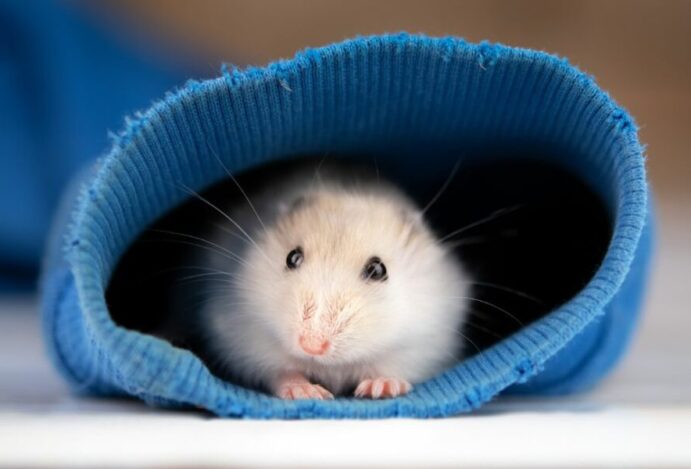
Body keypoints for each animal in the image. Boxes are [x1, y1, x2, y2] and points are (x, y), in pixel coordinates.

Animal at [169, 160, 470, 400]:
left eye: (378, 270)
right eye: (292, 258)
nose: (312, 345)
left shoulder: (427, 341)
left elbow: (391, 366)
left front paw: (380, 388)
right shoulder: (241, 335)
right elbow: (280, 370)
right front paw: (307, 393)